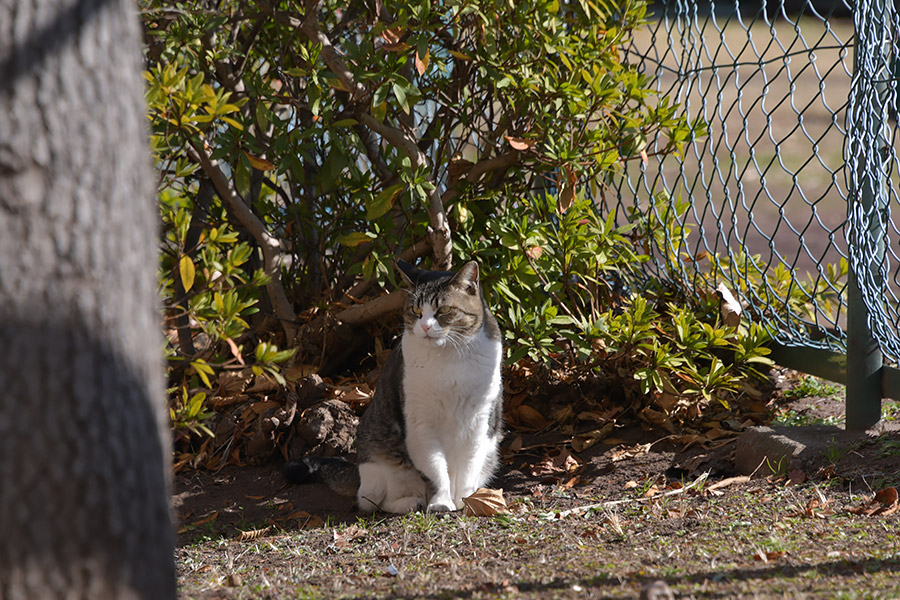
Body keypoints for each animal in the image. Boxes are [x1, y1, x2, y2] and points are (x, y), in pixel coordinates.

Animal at [284, 260, 502, 512]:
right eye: (416, 311)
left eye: (444, 310)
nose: (425, 327)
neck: (449, 357)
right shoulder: (420, 422)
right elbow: (436, 468)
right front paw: (441, 501)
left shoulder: (480, 420)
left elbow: (468, 468)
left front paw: (467, 500)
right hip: (379, 461)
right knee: (374, 501)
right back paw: (411, 502)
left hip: (490, 454)